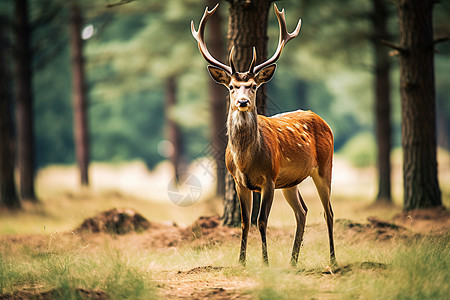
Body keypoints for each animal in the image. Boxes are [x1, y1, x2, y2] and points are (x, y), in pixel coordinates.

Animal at [192, 3, 336, 266]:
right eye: (231, 86)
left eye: (253, 86)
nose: (242, 102)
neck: (245, 160)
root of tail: (323, 121)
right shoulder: (238, 181)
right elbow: (244, 222)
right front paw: (241, 261)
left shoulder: (269, 177)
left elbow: (261, 221)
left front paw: (265, 262)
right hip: (290, 181)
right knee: (302, 211)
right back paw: (293, 261)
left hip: (324, 165)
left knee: (328, 211)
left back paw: (332, 260)